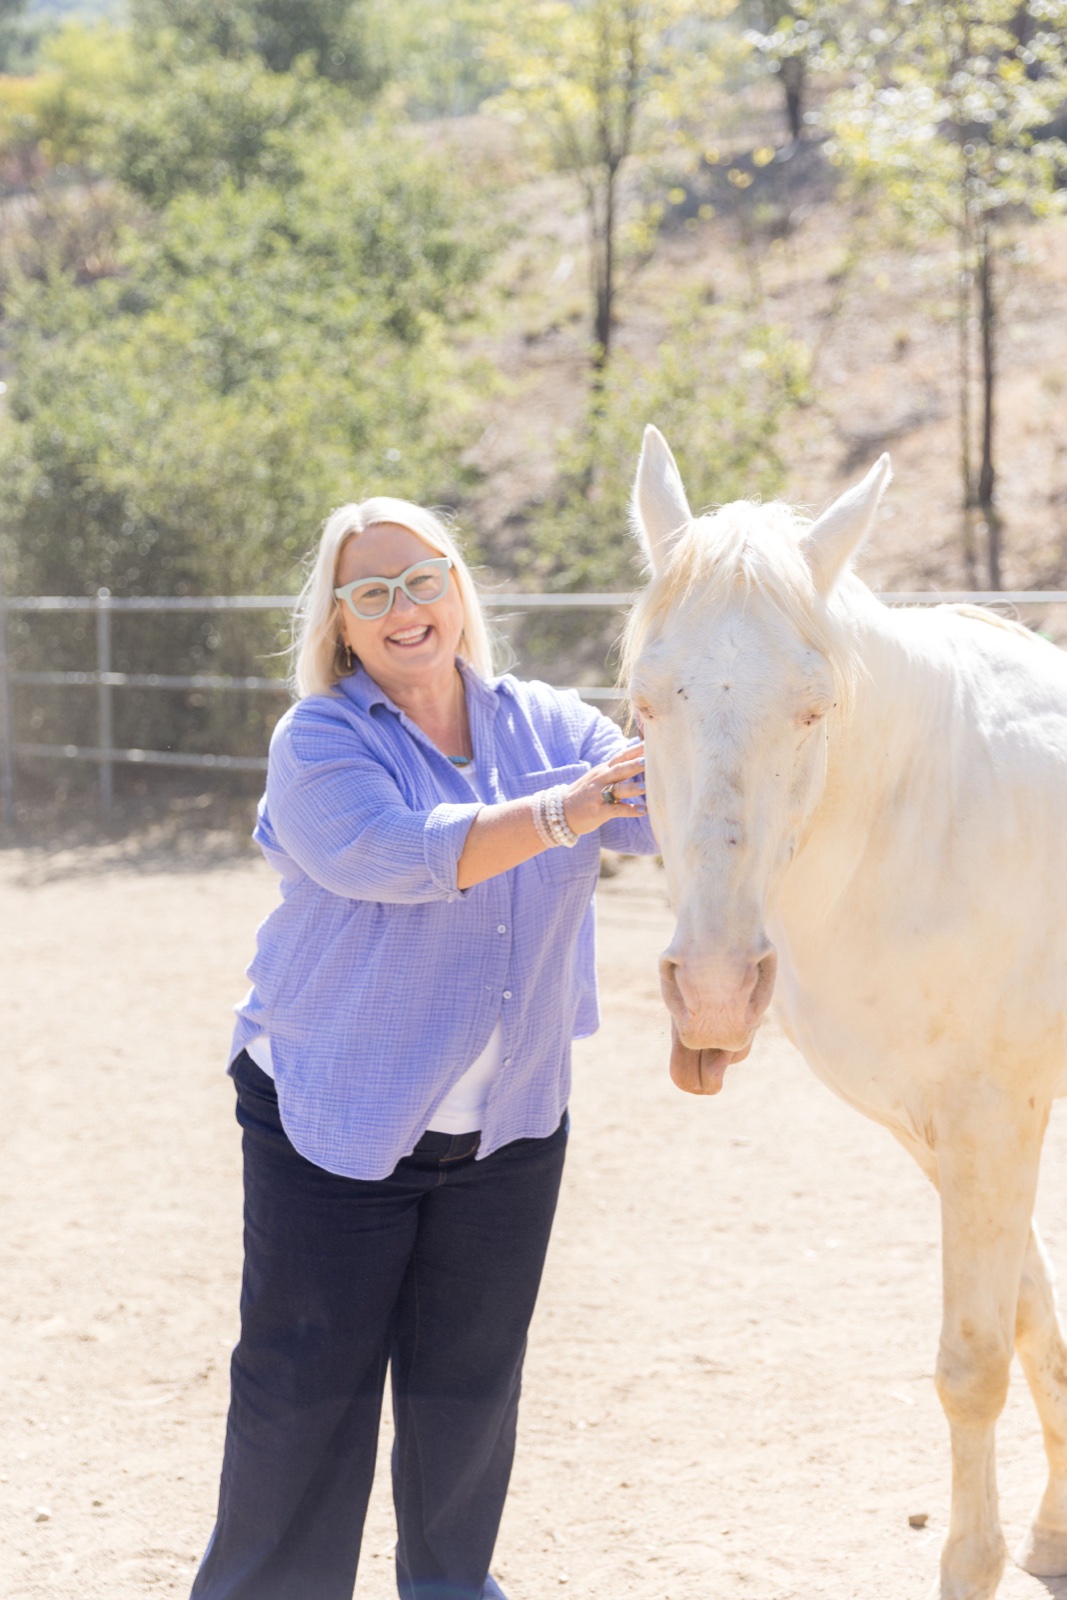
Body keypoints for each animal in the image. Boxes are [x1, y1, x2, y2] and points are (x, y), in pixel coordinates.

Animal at [623, 424, 1067, 1600]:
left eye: (813, 705)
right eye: (645, 700)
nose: (714, 989)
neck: (928, 815)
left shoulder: (992, 1118)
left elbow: (972, 1362)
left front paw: (974, 1561)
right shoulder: (941, 1129)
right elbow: (1032, 1316)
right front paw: (1055, 1534)